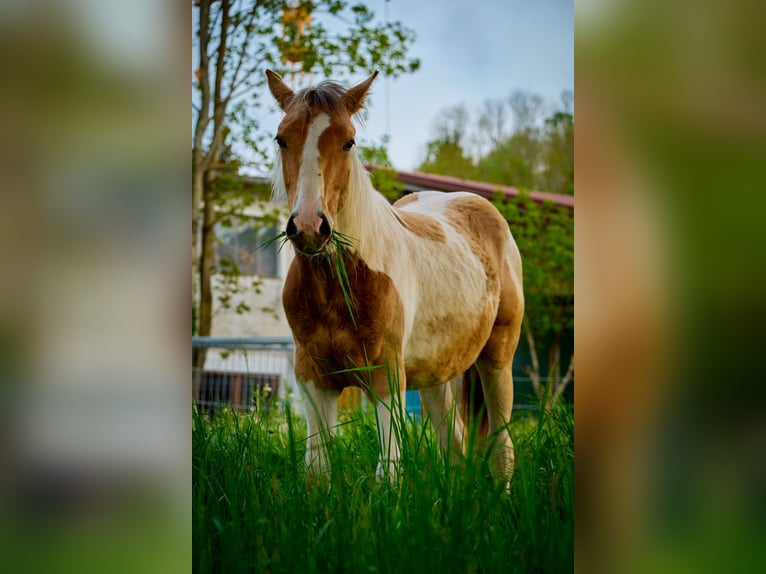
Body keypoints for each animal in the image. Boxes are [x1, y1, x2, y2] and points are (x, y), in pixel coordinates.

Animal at [266, 69, 524, 484]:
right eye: (281, 138)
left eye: (348, 141)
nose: (308, 227)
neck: (339, 287)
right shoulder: (312, 378)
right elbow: (317, 472)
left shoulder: (387, 379)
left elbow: (388, 473)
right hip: (436, 376)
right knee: (453, 444)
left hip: (498, 358)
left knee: (502, 450)